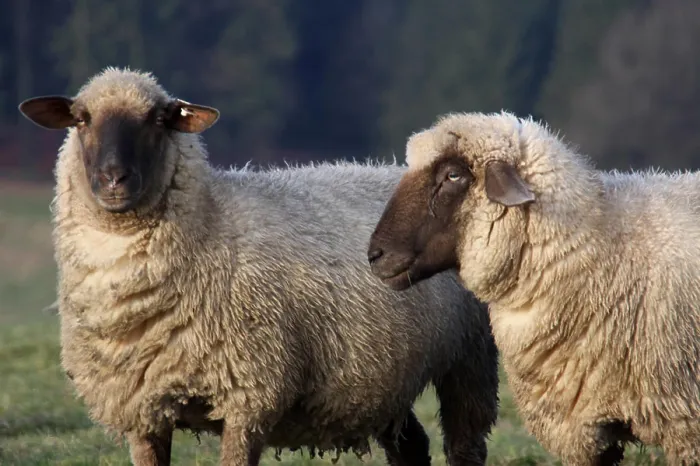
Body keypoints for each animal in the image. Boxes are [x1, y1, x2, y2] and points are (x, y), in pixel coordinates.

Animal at [18, 68, 499, 466]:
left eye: (159, 119)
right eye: (81, 119)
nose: (114, 179)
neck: (211, 224)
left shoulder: (249, 394)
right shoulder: (142, 408)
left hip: (470, 354)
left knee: (465, 446)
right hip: (384, 376)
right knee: (410, 447)